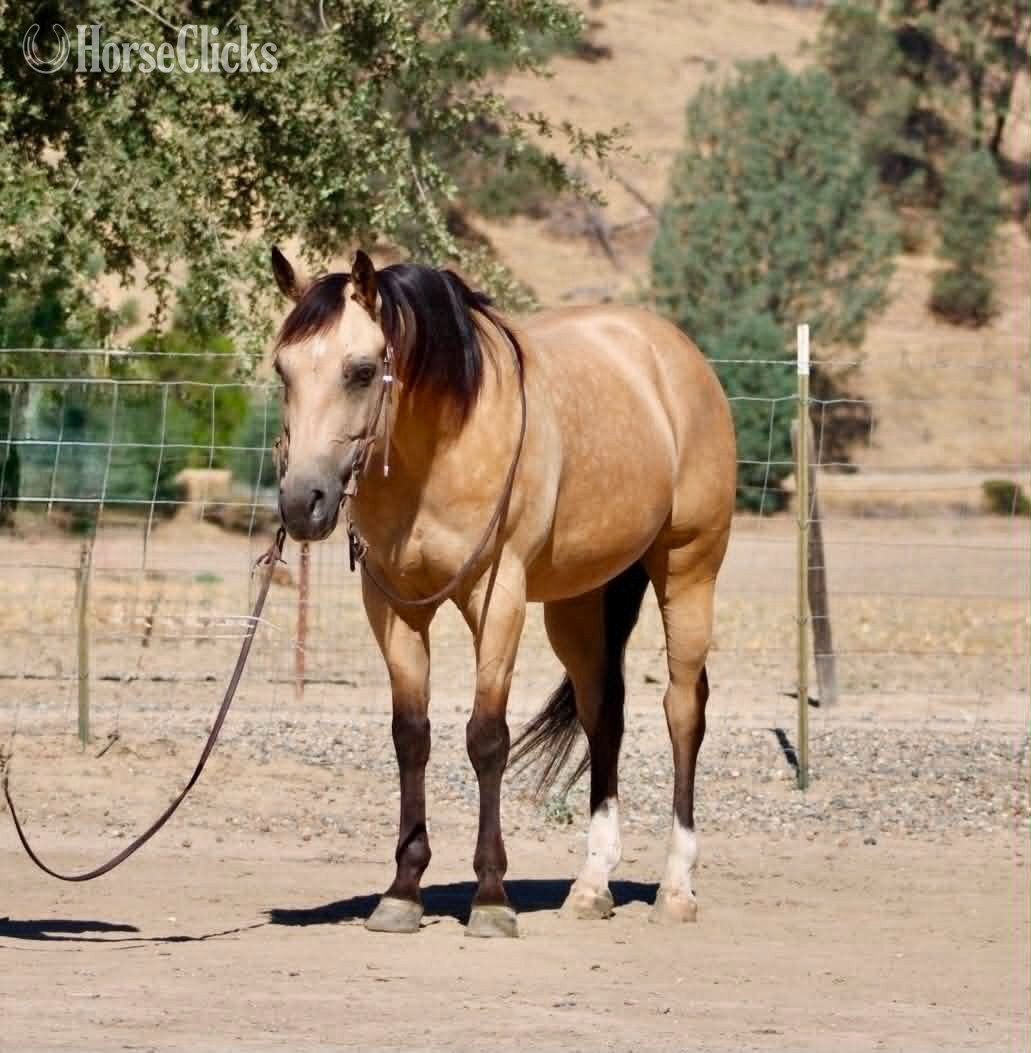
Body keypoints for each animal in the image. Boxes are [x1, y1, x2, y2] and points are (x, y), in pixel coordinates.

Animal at [269, 247, 736, 938]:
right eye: (284, 370)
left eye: (361, 371)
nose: (303, 504)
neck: (441, 444)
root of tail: (674, 354)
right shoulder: (394, 607)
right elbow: (411, 735)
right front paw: (402, 891)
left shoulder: (498, 598)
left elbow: (487, 737)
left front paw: (491, 897)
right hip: (580, 605)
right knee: (605, 715)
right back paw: (591, 886)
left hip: (688, 571)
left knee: (683, 710)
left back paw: (677, 887)